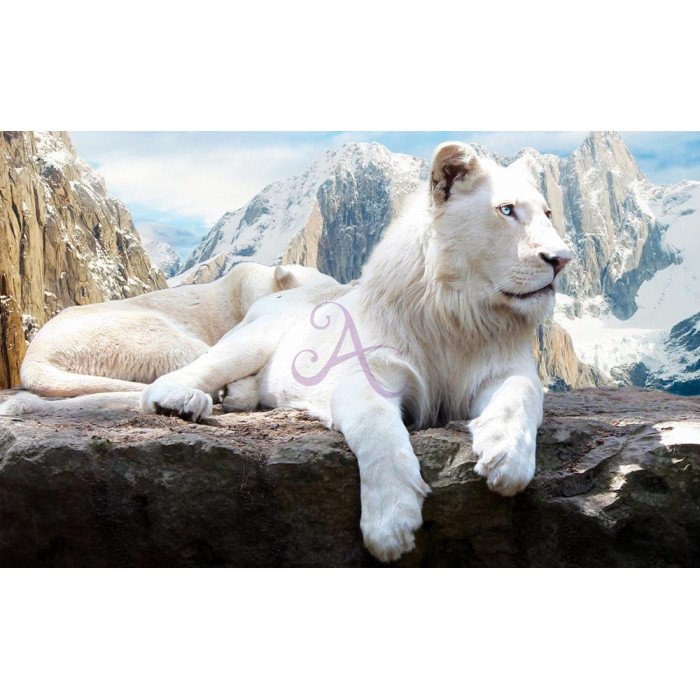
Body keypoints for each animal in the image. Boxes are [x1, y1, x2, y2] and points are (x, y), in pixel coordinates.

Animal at [136, 142, 571, 562]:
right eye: (506, 210)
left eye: (549, 213)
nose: (562, 260)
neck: (460, 312)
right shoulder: (370, 373)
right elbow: (378, 430)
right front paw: (391, 524)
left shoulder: (505, 369)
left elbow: (521, 395)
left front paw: (506, 457)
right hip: (254, 338)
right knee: (183, 375)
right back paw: (183, 400)